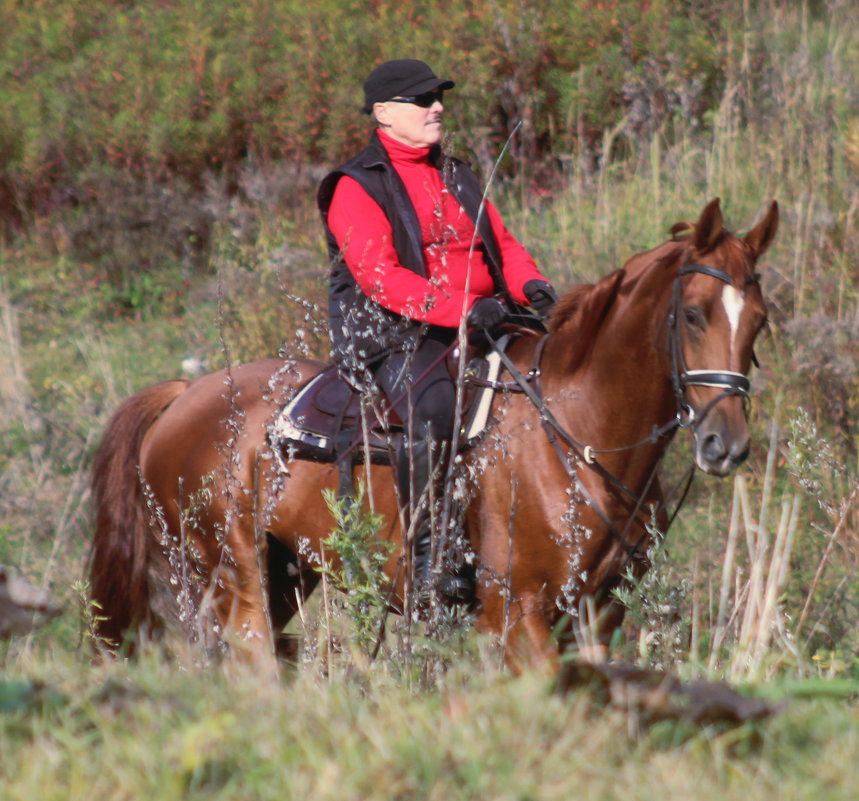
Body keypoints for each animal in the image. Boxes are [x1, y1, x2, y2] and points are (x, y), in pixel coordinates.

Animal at [89, 200, 780, 668]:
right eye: (694, 314)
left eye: (759, 320)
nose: (725, 445)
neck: (577, 433)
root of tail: (184, 395)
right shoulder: (518, 618)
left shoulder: (597, 618)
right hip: (231, 580)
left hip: (284, 575)